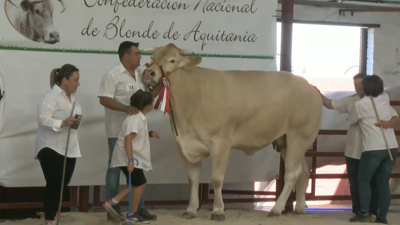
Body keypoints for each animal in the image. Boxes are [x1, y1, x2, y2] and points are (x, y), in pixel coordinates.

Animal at [140, 43, 322, 221]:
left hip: (298, 137)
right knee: (303, 172)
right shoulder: (184, 146)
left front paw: (218, 211)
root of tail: (310, 86)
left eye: (172, 60)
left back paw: (276, 209)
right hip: (287, 142)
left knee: (292, 173)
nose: (148, 73)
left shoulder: (220, 143)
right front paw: (191, 210)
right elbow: (193, 180)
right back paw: (299, 208)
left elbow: (216, 179)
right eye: (152, 58)